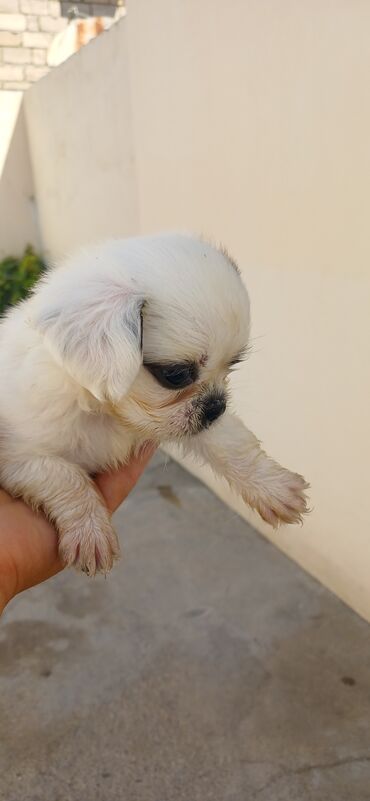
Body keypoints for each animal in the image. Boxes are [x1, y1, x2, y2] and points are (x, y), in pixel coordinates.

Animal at [0, 233, 308, 576]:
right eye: (176, 375)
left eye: (233, 365)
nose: (217, 406)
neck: (107, 411)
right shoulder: (20, 457)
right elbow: (66, 478)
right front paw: (91, 532)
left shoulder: (189, 420)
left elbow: (232, 444)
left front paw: (274, 487)